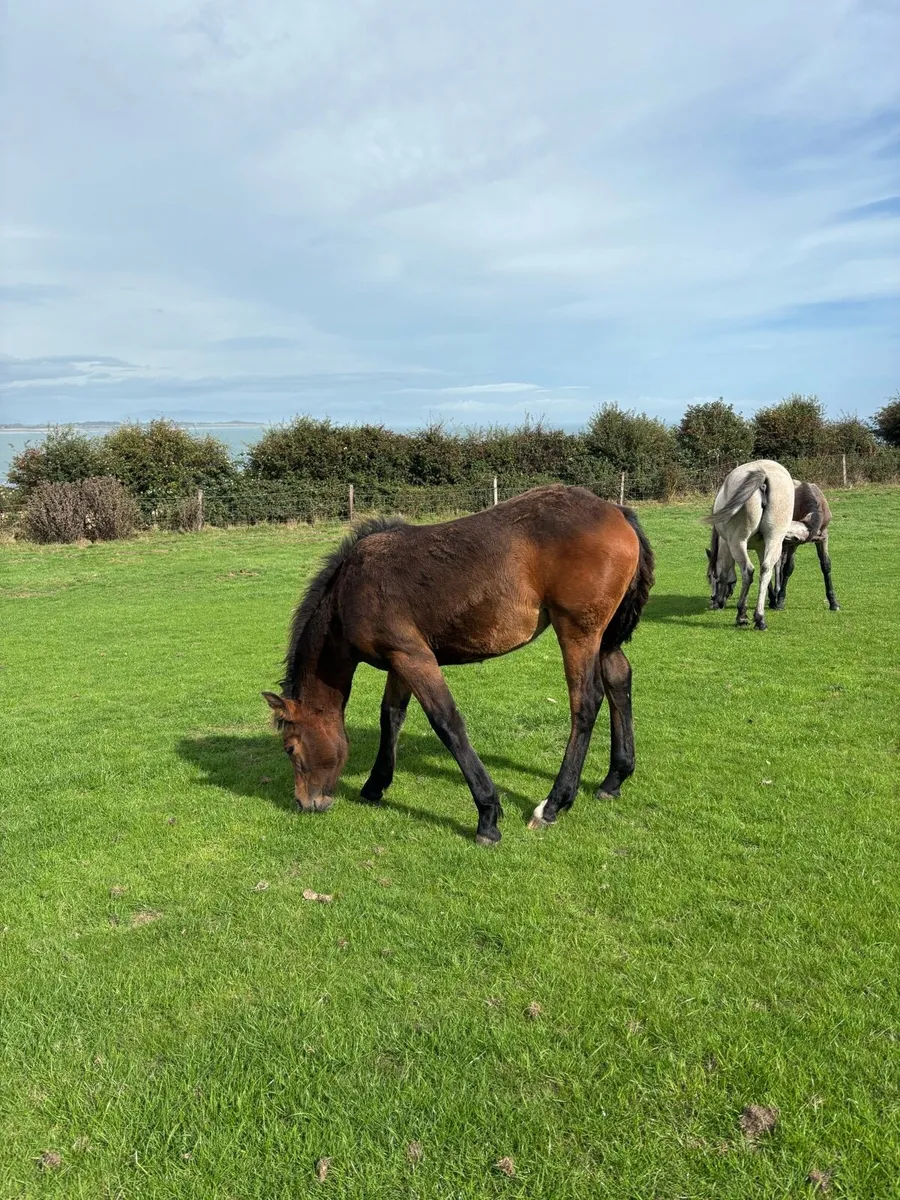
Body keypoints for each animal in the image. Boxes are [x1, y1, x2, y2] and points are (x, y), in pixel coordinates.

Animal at [262, 484, 655, 846]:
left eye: (290, 748)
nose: (304, 803)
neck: (350, 591)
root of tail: (617, 511)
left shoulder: (413, 657)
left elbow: (447, 723)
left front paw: (488, 814)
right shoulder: (400, 660)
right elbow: (391, 716)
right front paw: (375, 785)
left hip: (577, 631)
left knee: (586, 703)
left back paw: (554, 804)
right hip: (603, 637)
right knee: (619, 680)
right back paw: (614, 779)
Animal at [704, 459, 808, 630]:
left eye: (712, 577)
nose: (712, 598)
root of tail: (762, 474)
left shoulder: (726, 545)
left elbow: (725, 573)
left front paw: (720, 602)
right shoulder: (762, 546)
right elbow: (766, 572)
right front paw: (772, 598)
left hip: (737, 542)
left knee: (748, 571)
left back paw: (742, 615)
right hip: (774, 539)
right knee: (766, 570)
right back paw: (760, 618)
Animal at [767, 480, 840, 611]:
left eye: (794, 536)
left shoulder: (823, 535)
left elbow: (826, 565)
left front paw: (833, 602)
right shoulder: (792, 545)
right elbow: (788, 568)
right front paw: (780, 601)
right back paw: (773, 597)